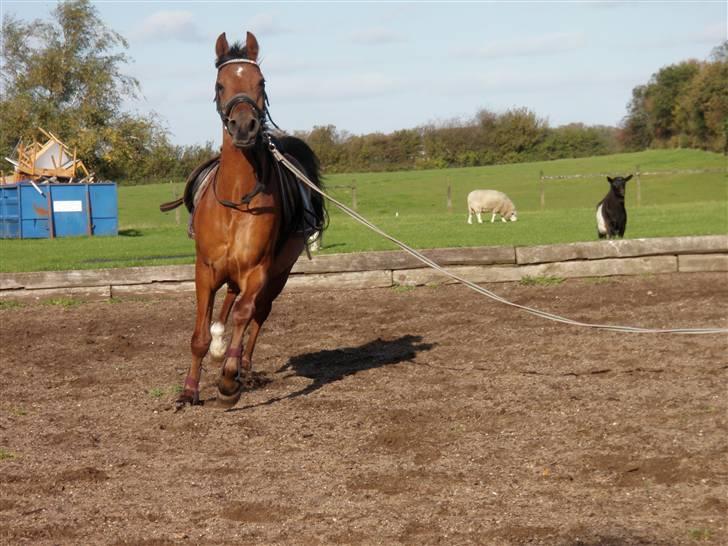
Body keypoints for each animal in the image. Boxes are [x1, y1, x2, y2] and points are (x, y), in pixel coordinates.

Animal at [173, 28, 324, 404]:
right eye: (220, 84)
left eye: (261, 82)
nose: (244, 126)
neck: (236, 201)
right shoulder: (205, 270)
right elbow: (199, 333)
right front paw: (190, 389)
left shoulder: (259, 270)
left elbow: (246, 313)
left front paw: (229, 379)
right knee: (230, 302)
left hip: (279, 273)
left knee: (257, 312)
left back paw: (242, 366)